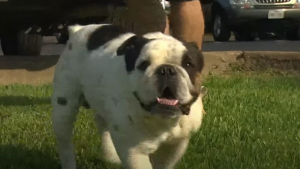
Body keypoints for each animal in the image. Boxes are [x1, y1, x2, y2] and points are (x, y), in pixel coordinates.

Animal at [51, 23, 206, 169]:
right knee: (65, 142)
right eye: (143, 65)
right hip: (63, 108)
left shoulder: (176, 145)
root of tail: (77, 30)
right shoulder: (134, 151)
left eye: (188, 64)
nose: (167, 69)